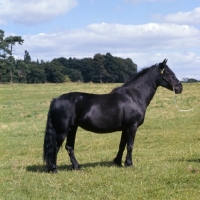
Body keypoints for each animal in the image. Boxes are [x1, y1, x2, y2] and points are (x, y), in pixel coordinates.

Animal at [43, 58, 183, 173]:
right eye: (168, 74)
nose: (180, 88)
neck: (134, 96)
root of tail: (55, 100)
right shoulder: (132, 127)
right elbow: (130, 145)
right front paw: (129, 164)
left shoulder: (125, 128)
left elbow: (122, 145)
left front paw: (118, 162)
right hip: (63, 130)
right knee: (55, 147)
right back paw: (54, 169)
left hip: (73, 128)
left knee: (69, 147)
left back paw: (77, 167)